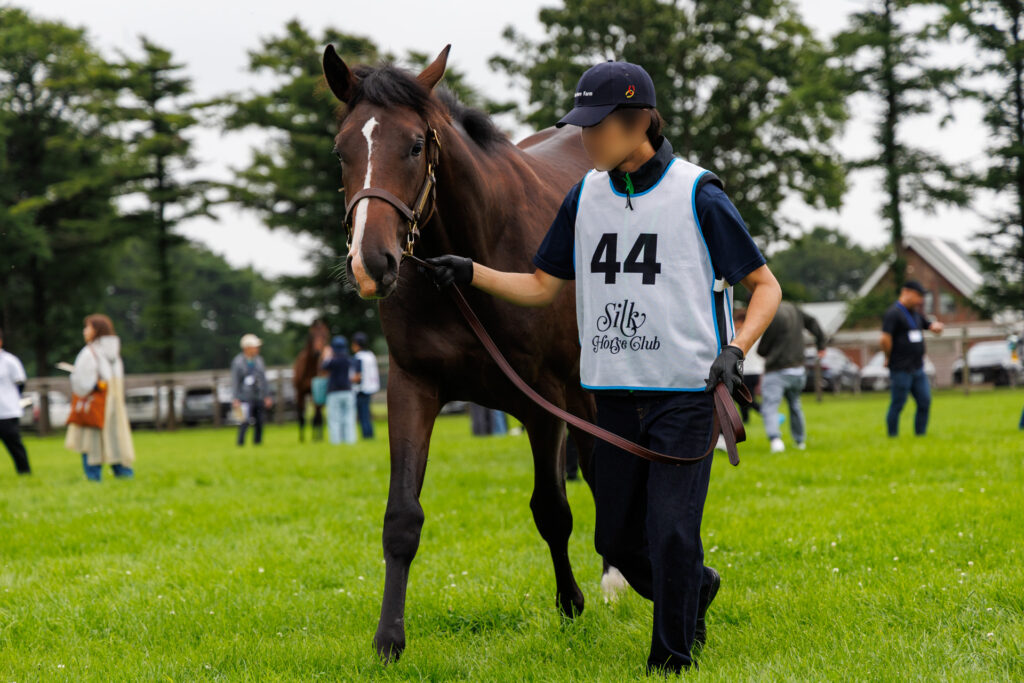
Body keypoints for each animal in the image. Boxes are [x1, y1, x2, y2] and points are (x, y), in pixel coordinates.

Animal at [323, 44, 605, 662]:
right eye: (342, 149)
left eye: (414, 145)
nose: (371, 262)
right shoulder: (412, 387)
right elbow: (401, 518)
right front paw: (389, 639)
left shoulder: (544, 401)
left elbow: (552, 510)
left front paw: (572, 604)